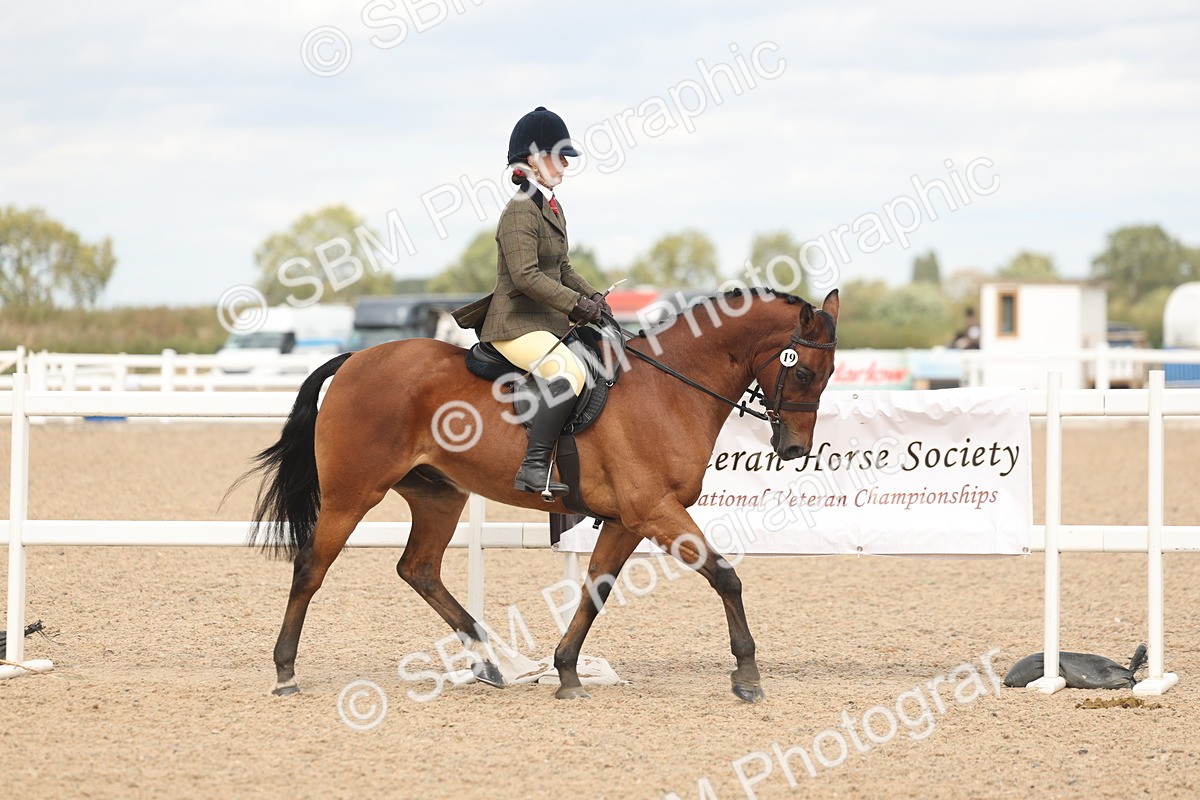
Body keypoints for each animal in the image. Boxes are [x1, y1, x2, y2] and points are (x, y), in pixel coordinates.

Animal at [242, 287, 839, 702]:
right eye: (804, 373)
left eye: (831, 373)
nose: (793, 448)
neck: (670, 390)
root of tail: (353, 359)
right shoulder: (655, 512)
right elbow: (725, 576)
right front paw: (747, 675)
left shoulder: (626, 520)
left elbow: (595, 591)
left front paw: (568, 672)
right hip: (352, 494)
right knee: (311, 567)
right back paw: (285, 672)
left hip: (439, 496)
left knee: (419, 569)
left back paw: (486, 663)